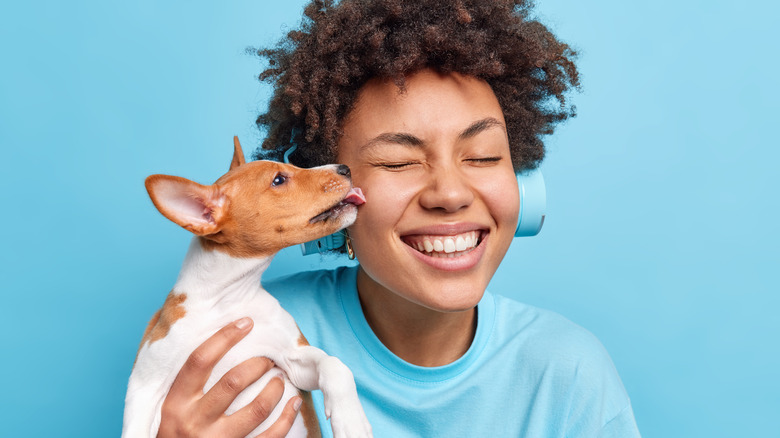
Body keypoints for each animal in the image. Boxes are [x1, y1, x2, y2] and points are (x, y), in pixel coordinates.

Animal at [123, 135, 374, 436]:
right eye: (279, 180)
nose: (345, 168)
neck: (225, 301)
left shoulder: (294, 358)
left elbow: (335, 364)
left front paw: (351, 420)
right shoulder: (144, 387)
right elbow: (135, 428)